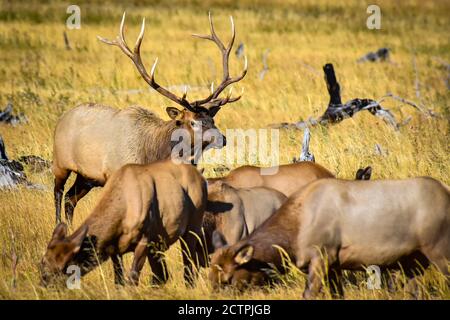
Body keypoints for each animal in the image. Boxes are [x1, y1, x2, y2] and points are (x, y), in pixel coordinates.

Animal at [39, 161, 207, 286]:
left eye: (61, 268)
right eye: (41, 263)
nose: (43, 287)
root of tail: (202, 177)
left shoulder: (144, 241)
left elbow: (132, 279)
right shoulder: (114, 249)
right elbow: (119, 281)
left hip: (192, 228)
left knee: (189, 266)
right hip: (158, 244)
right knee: (162, 276)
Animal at [54, 12, 248, 224]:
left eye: (212, 120)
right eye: (192, 121)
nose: (223, 139)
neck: (154, 154)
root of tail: (63, 117)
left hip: (87, 176)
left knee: (70, 199)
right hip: (60, 163)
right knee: (58, 193)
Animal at [210, 178, 450, 298]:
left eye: (227, 279)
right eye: (211, 277)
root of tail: (446, 192)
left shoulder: (321, 255)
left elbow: (308, 294)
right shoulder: (335, 263)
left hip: (439, 249)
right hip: (413, 261)